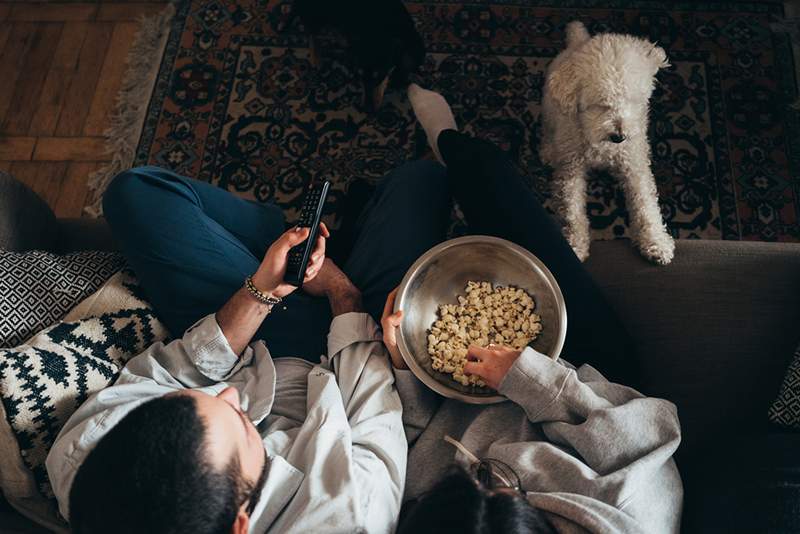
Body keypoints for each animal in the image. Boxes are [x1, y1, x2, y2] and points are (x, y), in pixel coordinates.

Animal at [544, 19, 676, 266]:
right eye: (601, 104)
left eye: (634, 100)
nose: (619, 136)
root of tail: (579, 40)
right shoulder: (572, 168)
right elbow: (573, 210)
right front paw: (575, 244)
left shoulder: (635, 166)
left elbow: (646, 204)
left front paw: (656, 242)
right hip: (549, 108)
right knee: (547, 130)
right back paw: (547, 150)